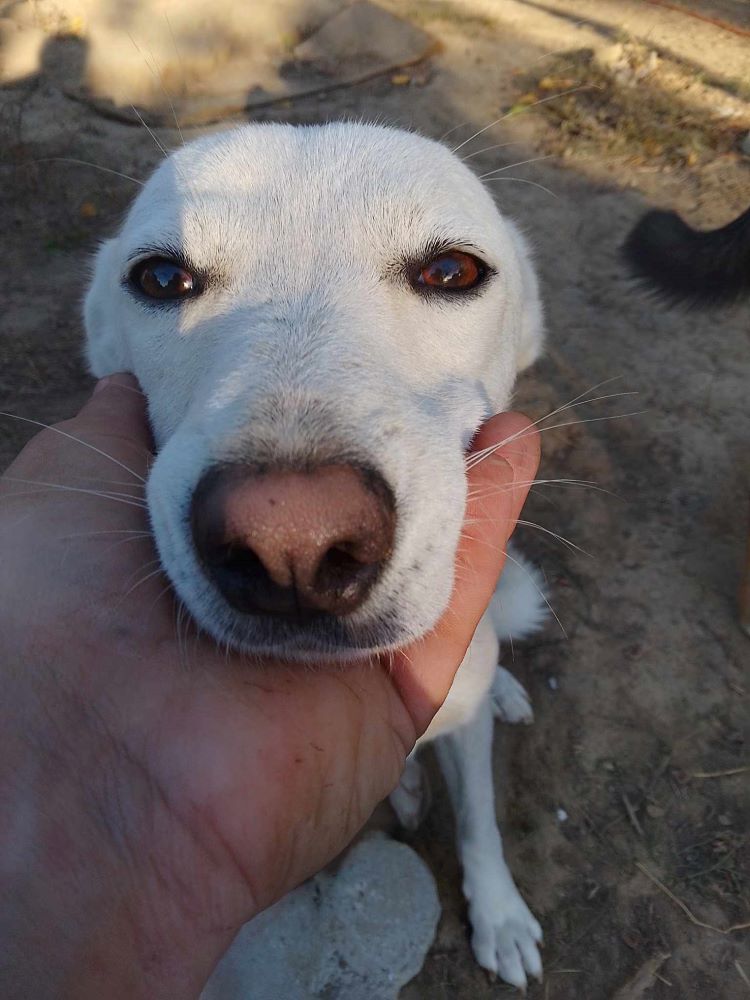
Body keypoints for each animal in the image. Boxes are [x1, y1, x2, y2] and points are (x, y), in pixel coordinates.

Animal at [85, 121, 548, 988]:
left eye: (451, 271)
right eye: (162, 277)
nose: (290, 542)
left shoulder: (465, 718)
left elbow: (480, 820)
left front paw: (499, 914)